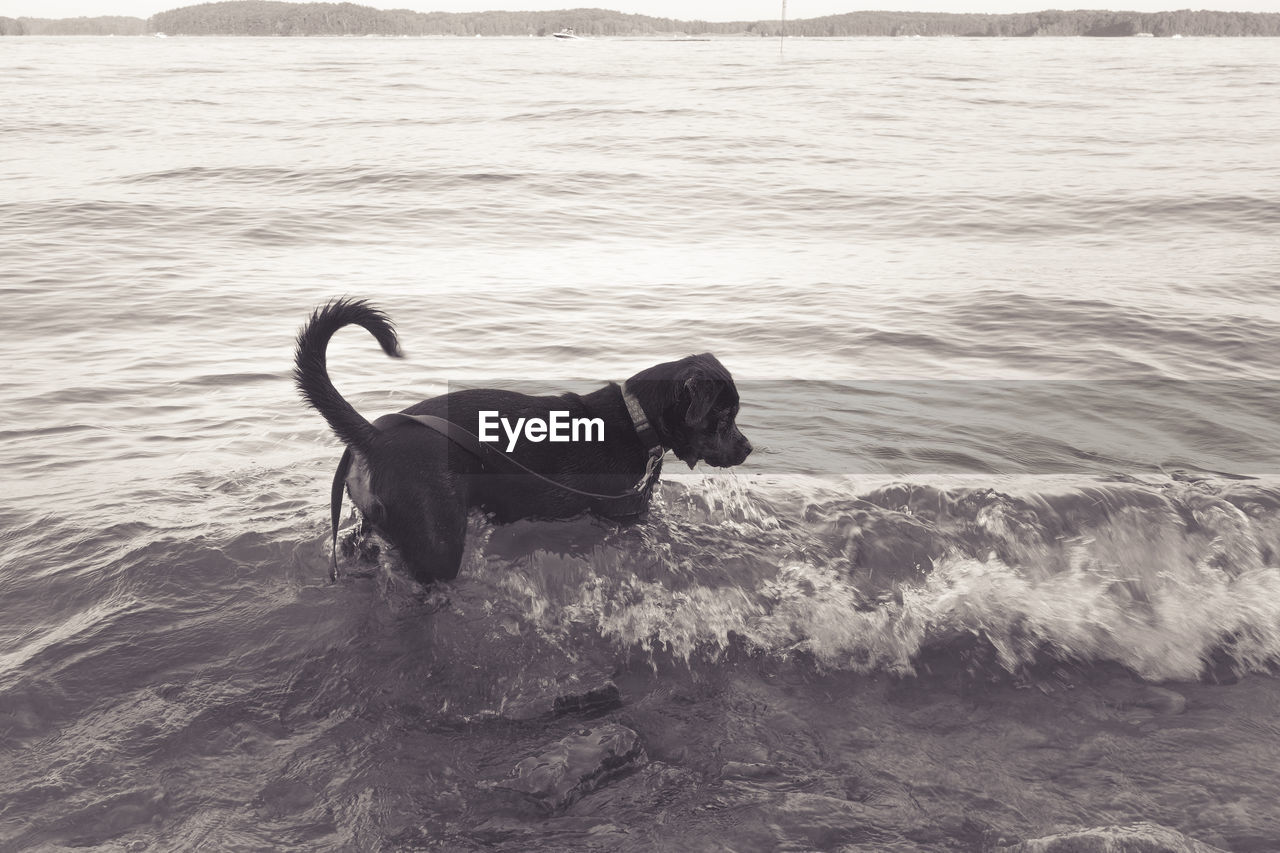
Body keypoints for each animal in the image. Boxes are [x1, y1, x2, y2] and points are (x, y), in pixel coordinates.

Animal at [294, 295, 747, 581]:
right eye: (724, 417)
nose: (748, 448)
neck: (637, 420)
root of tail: (372, 436)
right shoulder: (624, 514)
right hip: (438, 541)